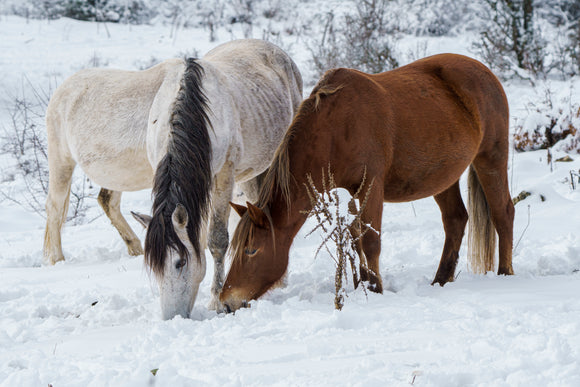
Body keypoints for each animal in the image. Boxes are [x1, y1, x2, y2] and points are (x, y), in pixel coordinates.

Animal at [44, 39, 304, 320]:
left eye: (180, 262)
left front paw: (216, 300)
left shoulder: (224, 174)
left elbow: (216, 239)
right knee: (61, 206)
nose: (172, 317)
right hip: (62, 161)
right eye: (154, 268)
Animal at [220, 53, 516, 312]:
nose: (227, 301)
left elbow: (371, 240)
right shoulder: (350, 192)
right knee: (455, 220)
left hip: (491, 158)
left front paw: (375, 289)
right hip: (443, 178)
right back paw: (440, 280)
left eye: (251, 250)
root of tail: (484, 71)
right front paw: (360, 284)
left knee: (503, 213)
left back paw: (505, 273)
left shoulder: (370, 186)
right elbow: (355, 237)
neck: (335, 128)